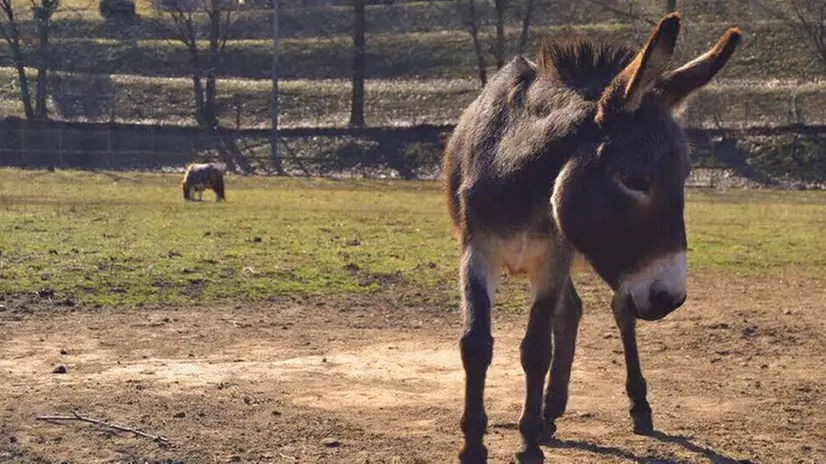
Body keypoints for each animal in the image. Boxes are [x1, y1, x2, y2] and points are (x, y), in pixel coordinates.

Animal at [440, 12, 744, 462]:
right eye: (634, 180)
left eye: (684, 179)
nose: (669, 299)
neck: (520, 179)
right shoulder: (478, 251)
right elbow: (476, 344)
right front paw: (474, 445)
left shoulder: (552, 256)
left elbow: (536, 349)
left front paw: (528, 444)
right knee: (574, 311)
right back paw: (550, 410)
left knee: (619, 310)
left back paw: (636, 407)